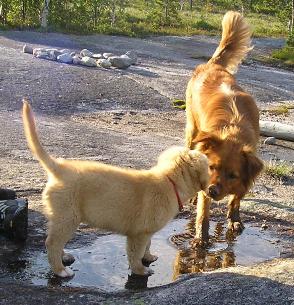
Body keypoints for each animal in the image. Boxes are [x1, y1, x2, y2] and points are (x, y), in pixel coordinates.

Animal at [21, 100, 208, 278]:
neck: (170, 181)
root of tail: (59, 167)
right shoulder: (139, 233)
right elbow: (136, 253)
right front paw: (140, 270)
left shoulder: (147, 231)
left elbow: (148, 245)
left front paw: (148, 257)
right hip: (68, 216)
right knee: (52, 242)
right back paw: (60, 270)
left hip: (61, 217)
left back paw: (64, 256)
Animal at [185, 11, 262, 243]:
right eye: (212, 167)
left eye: (233, 175)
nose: (212, 190)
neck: (233, 134)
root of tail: (212, 65)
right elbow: (204, 212)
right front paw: (201, 237)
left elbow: (236, 199)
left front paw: (234, 219)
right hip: (192, 131)